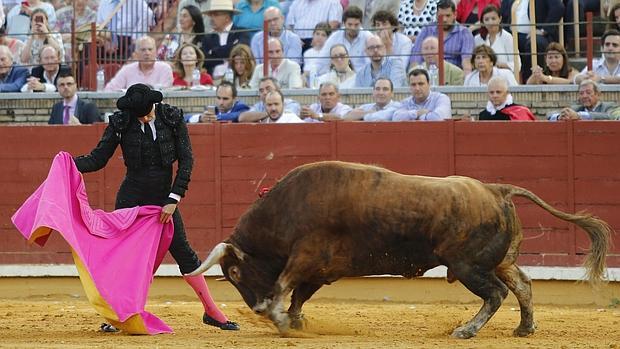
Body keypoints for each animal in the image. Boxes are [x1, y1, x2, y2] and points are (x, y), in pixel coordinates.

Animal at [190, 160, 612, 338]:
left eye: (235, 272)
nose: (257, 310)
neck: (285, 209)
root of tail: (497, 190)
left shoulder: (306, 257)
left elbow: (285, 286)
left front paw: (280, 321)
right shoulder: (321, 269)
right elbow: (299, 296)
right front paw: (293, 321)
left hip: (468, 265)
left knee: (495, 294)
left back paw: (465, 331)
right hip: (499, 261)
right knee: (522, 285)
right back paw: (524, 329)